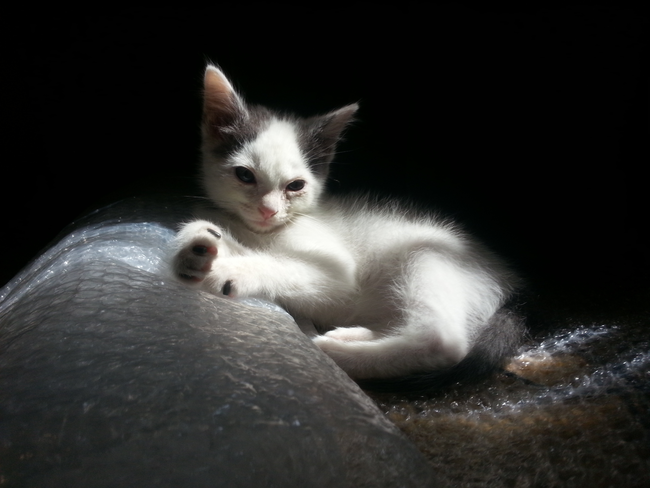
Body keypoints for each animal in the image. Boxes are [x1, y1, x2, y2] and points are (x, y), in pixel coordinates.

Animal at [170, 63, 520, 388]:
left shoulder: (338, 275)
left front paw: (227, 270)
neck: (266, 232)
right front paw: (201, 245)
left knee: (443, 343)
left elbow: (286, 266)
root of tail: (511, 281)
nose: (268, 211)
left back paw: (336, 354)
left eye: (295, 186)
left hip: (427, 256)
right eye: (244, 175)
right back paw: (355, 334)